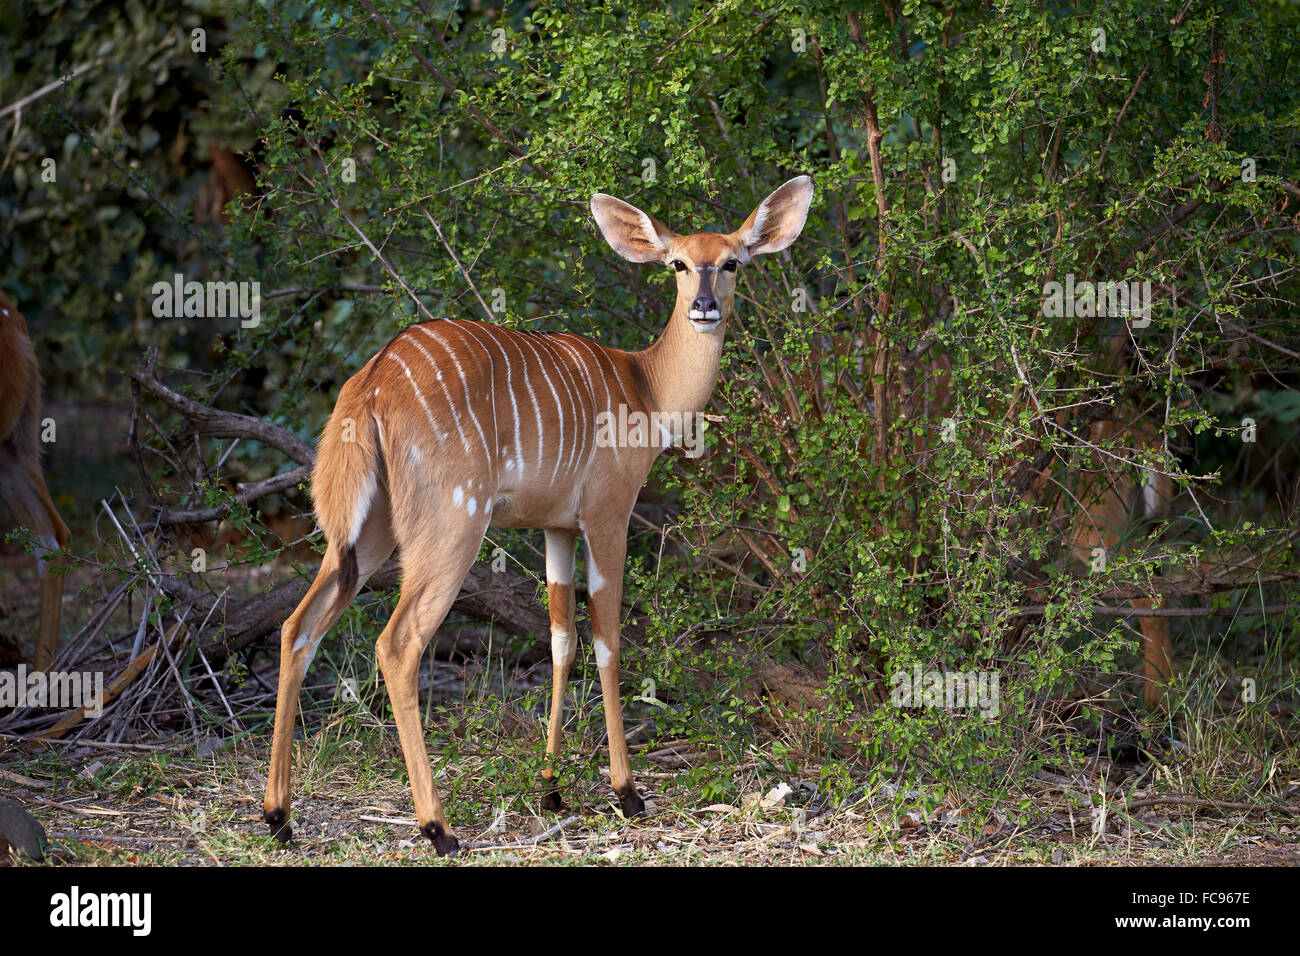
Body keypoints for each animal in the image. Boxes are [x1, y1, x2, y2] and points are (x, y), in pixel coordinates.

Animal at [263, 178, 811, 853]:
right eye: (678, 264)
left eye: (732, 261)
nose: (705, 307)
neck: (647, 390)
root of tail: (369, 386)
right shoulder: (607, 513)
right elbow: (607, 640)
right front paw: (627, 793)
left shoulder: (556, 527)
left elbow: (560, 641)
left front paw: (551, 790)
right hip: (452, 521)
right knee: (397, 642)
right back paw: (438, 827)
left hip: (367, 531)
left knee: (298, 624)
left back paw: (280, 817)